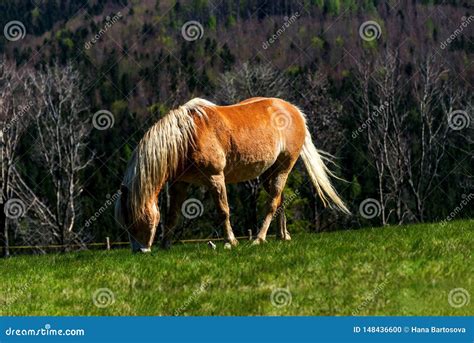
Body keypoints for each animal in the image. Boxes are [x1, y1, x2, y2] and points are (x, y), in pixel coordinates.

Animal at [116, 97, 350, 253]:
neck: (186, 136)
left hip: (284, 167)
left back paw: (259, 239)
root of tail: (294, 110)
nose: (138, 251)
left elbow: (223, 211)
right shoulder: (179, 184)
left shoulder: (215, 178)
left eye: (133, 219)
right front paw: (166, 246)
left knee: (272, 203)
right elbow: (172, 215)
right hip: (270, 173)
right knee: (280, 200)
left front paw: (231, 242)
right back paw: (282, 236)